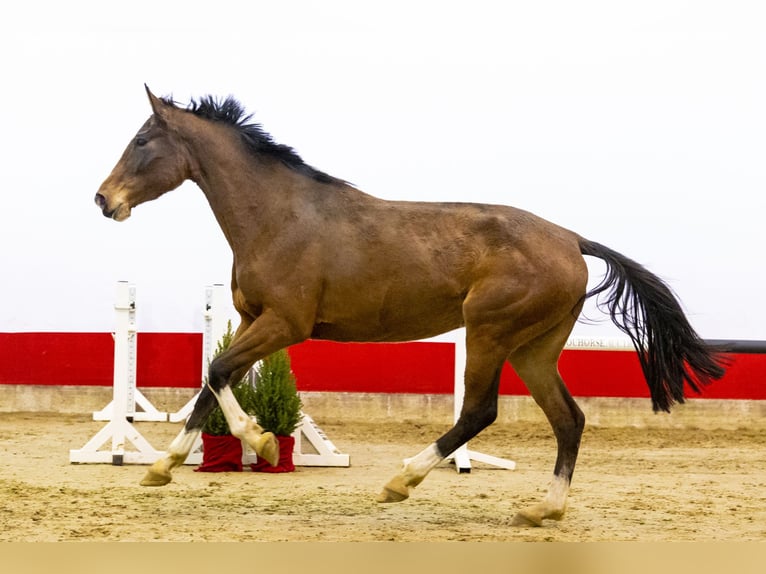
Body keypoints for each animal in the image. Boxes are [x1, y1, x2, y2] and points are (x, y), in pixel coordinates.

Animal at [94, 86, 725, 526]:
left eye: (142, 141)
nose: (103, 200)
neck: (278, 216)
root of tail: (572, 239)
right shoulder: (254, 321)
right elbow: (211, 380)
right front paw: (163, 467)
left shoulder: (284, 324)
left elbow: (218, 369)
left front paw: (262, 441)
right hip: (534, 349)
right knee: (568, 419)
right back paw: (542, 510)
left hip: (490, 333)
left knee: (480, 412)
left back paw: (402, 481)